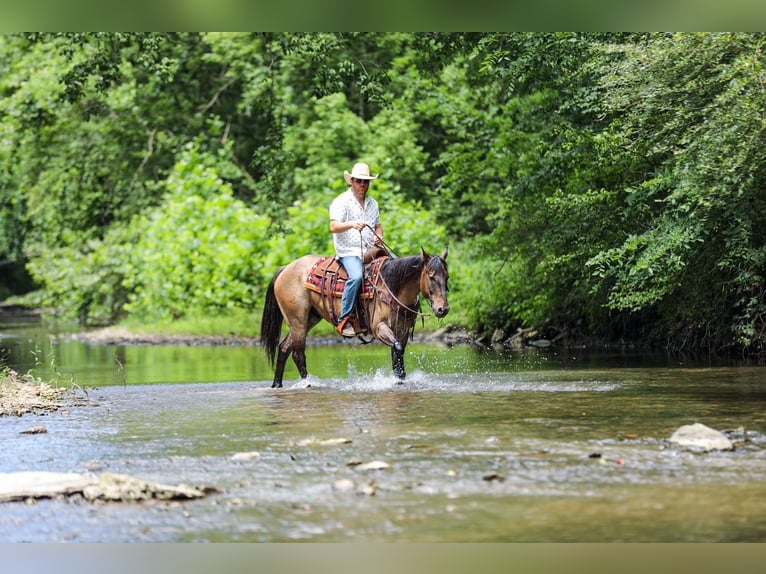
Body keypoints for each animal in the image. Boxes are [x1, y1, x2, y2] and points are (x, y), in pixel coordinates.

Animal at [260, 247, 450, 388]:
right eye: (431, 276)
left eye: (447, 276)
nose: (443, 309)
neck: (392, 287)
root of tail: (285, 269)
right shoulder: (379, 327)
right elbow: (396, 348)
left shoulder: (402, 331)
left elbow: (398, 353)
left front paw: (400, 380)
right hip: (298, 320)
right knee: (297, 353)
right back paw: (309, 383)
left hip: (309, 319)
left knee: (284, 348)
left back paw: (277, 384)